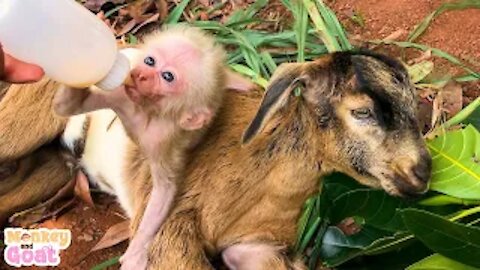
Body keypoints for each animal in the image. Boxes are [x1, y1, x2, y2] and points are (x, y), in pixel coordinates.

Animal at [54, 24, 249, 268]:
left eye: (168, 76)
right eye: (150, 61)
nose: (141, 75)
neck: (145, 111)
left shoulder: (164, 140)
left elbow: (164, 192)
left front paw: (138, 249)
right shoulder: (120, 95)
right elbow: (67, 106)